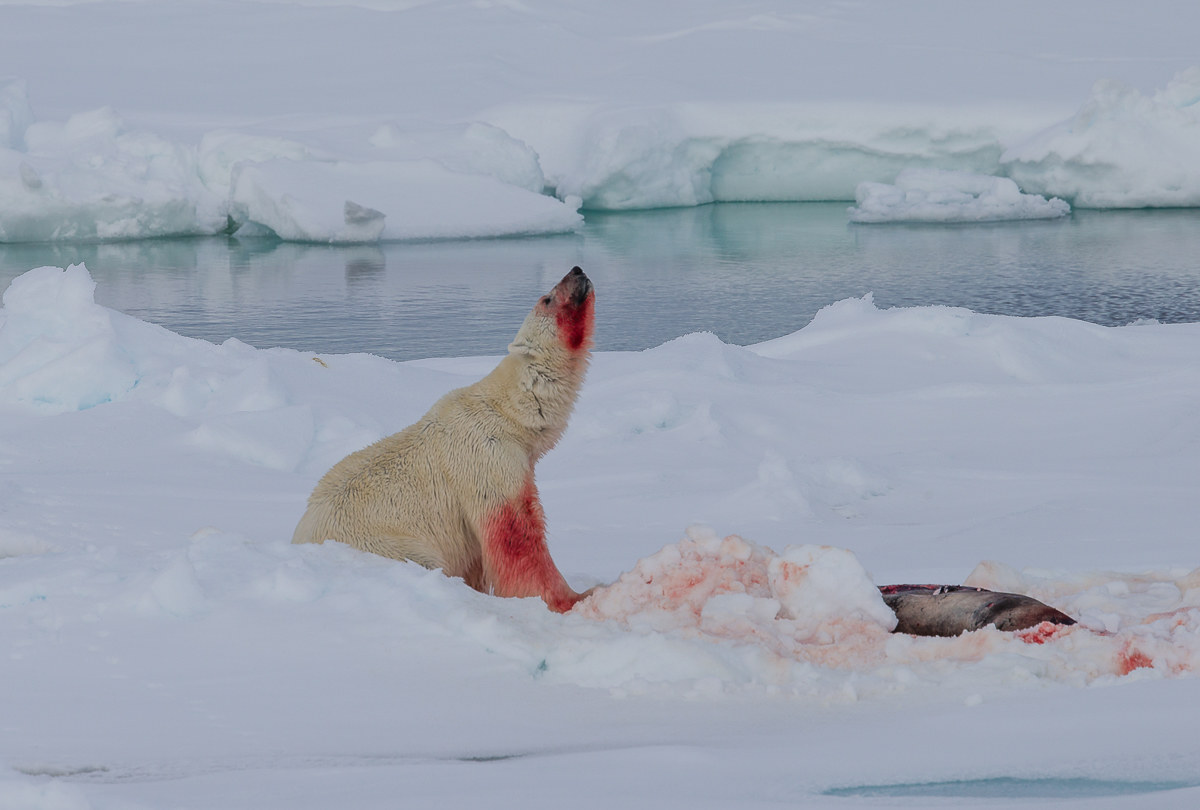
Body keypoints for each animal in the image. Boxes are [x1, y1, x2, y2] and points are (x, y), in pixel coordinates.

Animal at [292, 266, 595, 613]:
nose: (576, 270)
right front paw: (575, 597)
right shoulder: (487, 460)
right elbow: (515, 535)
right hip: (385, 542)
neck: (506, 412)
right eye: (547, 298)